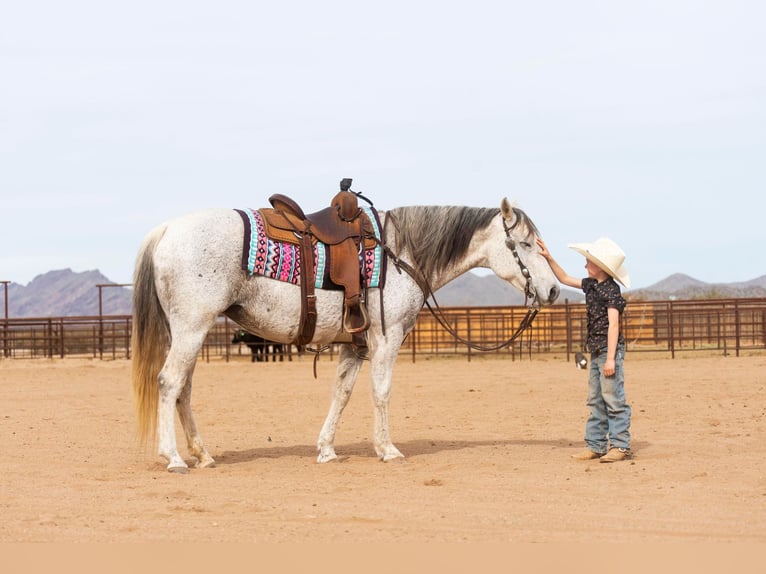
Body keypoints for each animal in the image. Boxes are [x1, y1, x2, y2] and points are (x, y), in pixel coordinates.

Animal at [132, 197, 560, 472]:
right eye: (524, 243)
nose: (554, 290)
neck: (402, 254)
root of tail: (165, 230)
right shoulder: (387, 340)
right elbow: (381, 391)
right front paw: (387, 449)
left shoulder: (355, 346)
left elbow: (342, 393)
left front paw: (326, 450)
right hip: (191, 328)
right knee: (169, 382)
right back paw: (173, 458)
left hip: (189, 331)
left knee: (184, 389)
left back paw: (202, 455)